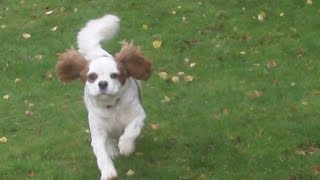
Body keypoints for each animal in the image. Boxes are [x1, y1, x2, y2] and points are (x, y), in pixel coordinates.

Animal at [56, 14, 152, 180]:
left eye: (114, 75)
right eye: (92, 77)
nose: (102, 83)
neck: (111, 106)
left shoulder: (138, 115)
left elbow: (130, 131)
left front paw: (126, 146)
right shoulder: (98, 132)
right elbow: (101, 154)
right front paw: (108, 172)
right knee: (110, 139)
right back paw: (112, 149)